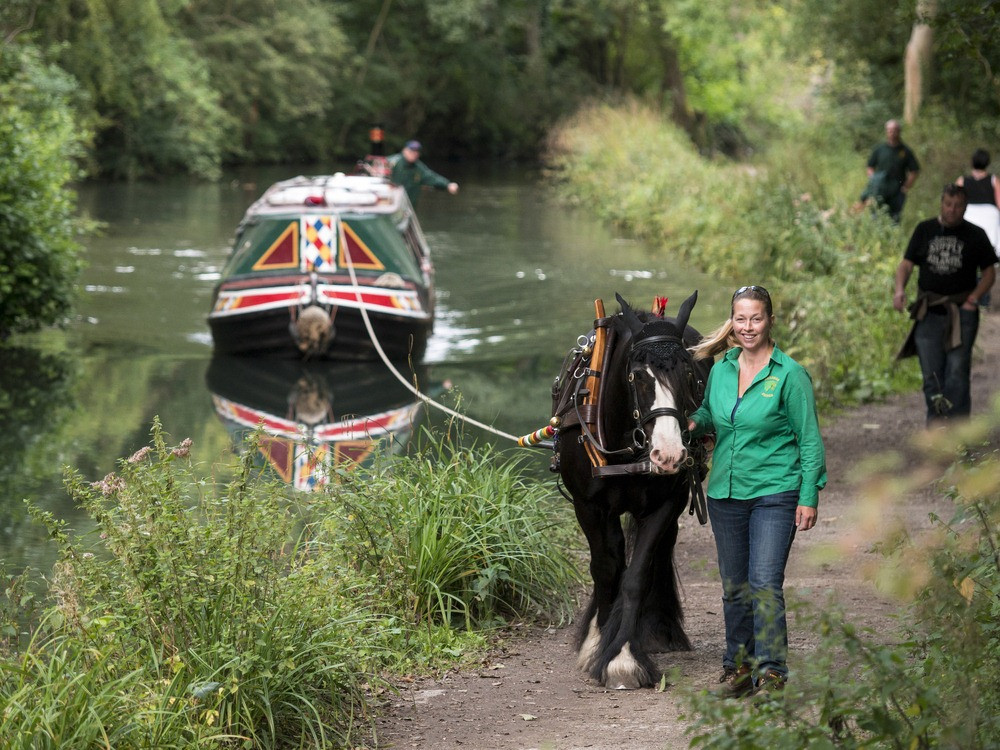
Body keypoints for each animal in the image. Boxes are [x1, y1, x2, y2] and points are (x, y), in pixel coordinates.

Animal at [552, 290, 708, 692]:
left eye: (689, 374)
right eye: (637, 375)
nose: (669, 453)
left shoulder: (666, 502)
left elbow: (636, 576)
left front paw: (623, 658)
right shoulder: (588, 506)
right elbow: (607, 569)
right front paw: (598, 646)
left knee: (659, 551)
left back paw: (657, 631)